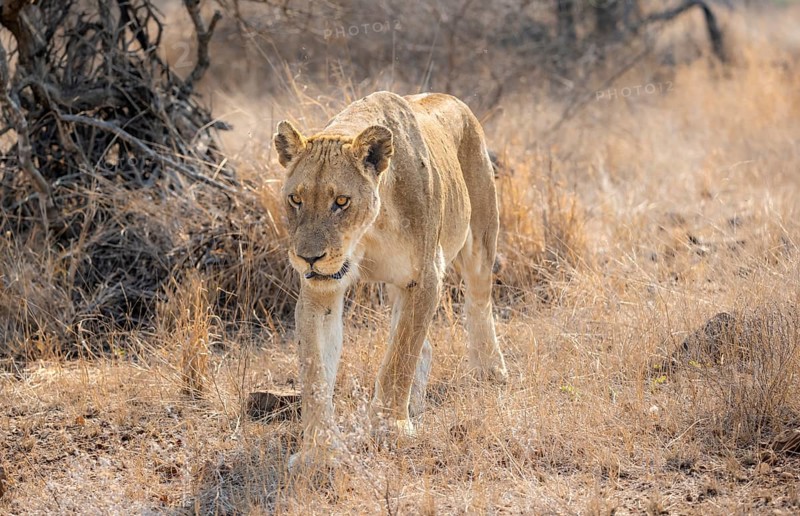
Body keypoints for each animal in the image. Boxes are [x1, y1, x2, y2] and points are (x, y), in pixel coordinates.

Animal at [273, 91, 508, 470]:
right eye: (296, 199)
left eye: (341, 201)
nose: (309, 257)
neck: (370, 229)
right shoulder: (319, 291)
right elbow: (315, 373)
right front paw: (318, 452)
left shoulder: (424, 278)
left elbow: (399, 359)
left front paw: (390, 428)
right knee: (423, 344)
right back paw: (415, 403)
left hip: (481, 234)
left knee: (478, 303)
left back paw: (491, 370)